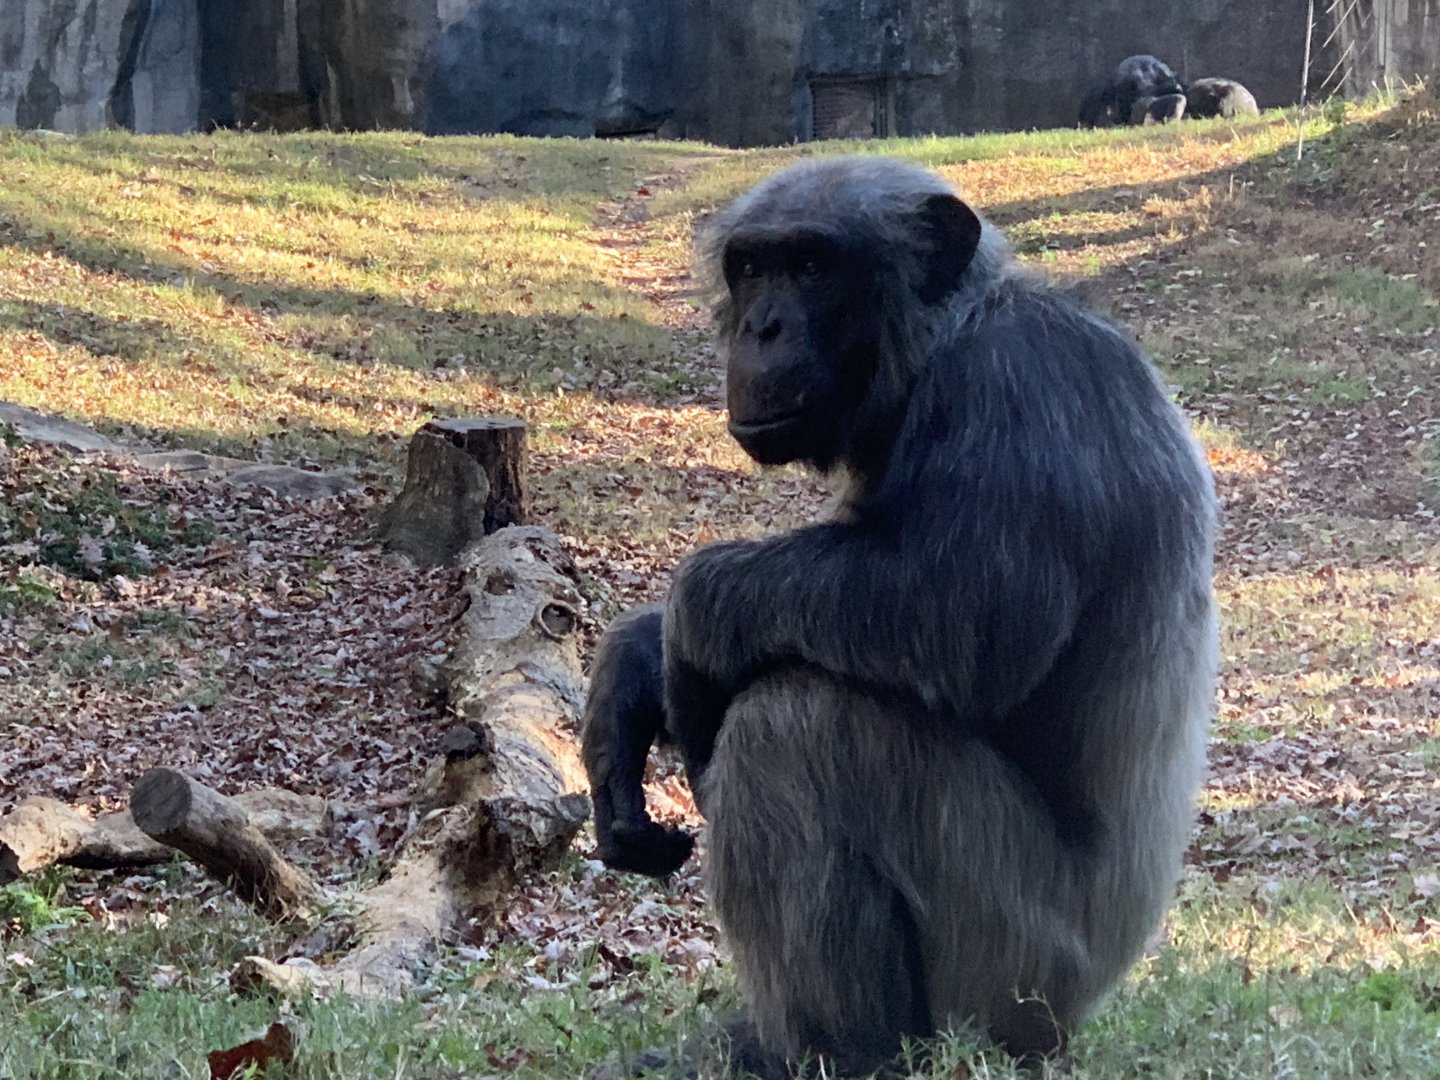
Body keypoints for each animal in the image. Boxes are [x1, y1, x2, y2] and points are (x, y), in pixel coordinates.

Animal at [588, 156, 1218, 1078]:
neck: (939, 348)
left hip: (1010, 975)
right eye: (752, 267)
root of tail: (1081, 1016)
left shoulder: (1020, 387)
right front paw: (629, 678)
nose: (764, 326)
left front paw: (687, 627)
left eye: (812, 265)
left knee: (795, 726)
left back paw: (827, 1050)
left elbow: (959, 609)